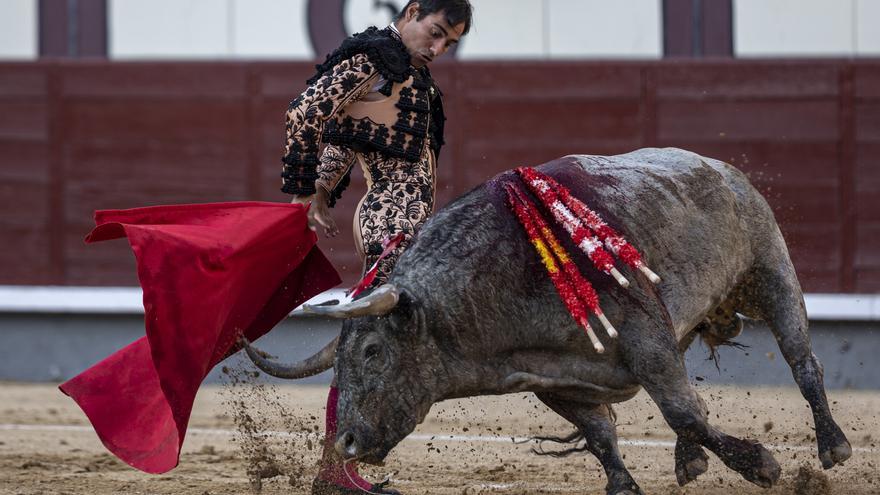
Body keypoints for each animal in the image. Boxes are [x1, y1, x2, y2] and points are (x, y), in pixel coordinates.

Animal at [244, 148, 848, 495]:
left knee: (804, 364)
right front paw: (625, 486)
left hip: (770, 270)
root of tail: (721, 169)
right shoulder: (555, 379)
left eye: (373, 351)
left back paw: (833, 447)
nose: (345, 443)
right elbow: (603, 433)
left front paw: (761, 465)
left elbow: (685, 412)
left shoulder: (646, 342)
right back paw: (689, 463)